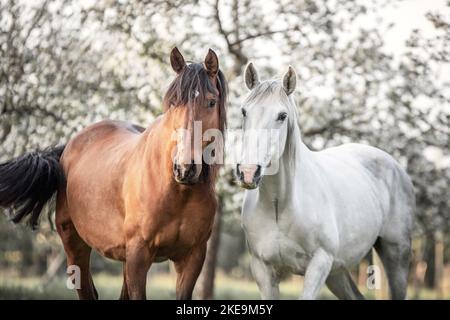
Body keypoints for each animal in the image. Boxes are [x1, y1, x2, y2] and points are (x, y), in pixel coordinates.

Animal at [0, 47, 227, 300]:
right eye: (174, 103)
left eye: (211, 102)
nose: (185, 168)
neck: (177, 191)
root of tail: (69, 146)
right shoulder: (139, 255)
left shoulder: (193, 257)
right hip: (75, 244)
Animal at [236, 63, 414, 300]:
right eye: (244, 111)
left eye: (282, 115)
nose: (248, 172)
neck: (280, 205)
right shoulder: (262, 270)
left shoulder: (319, 264)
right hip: (338, 272)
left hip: (396, 255)